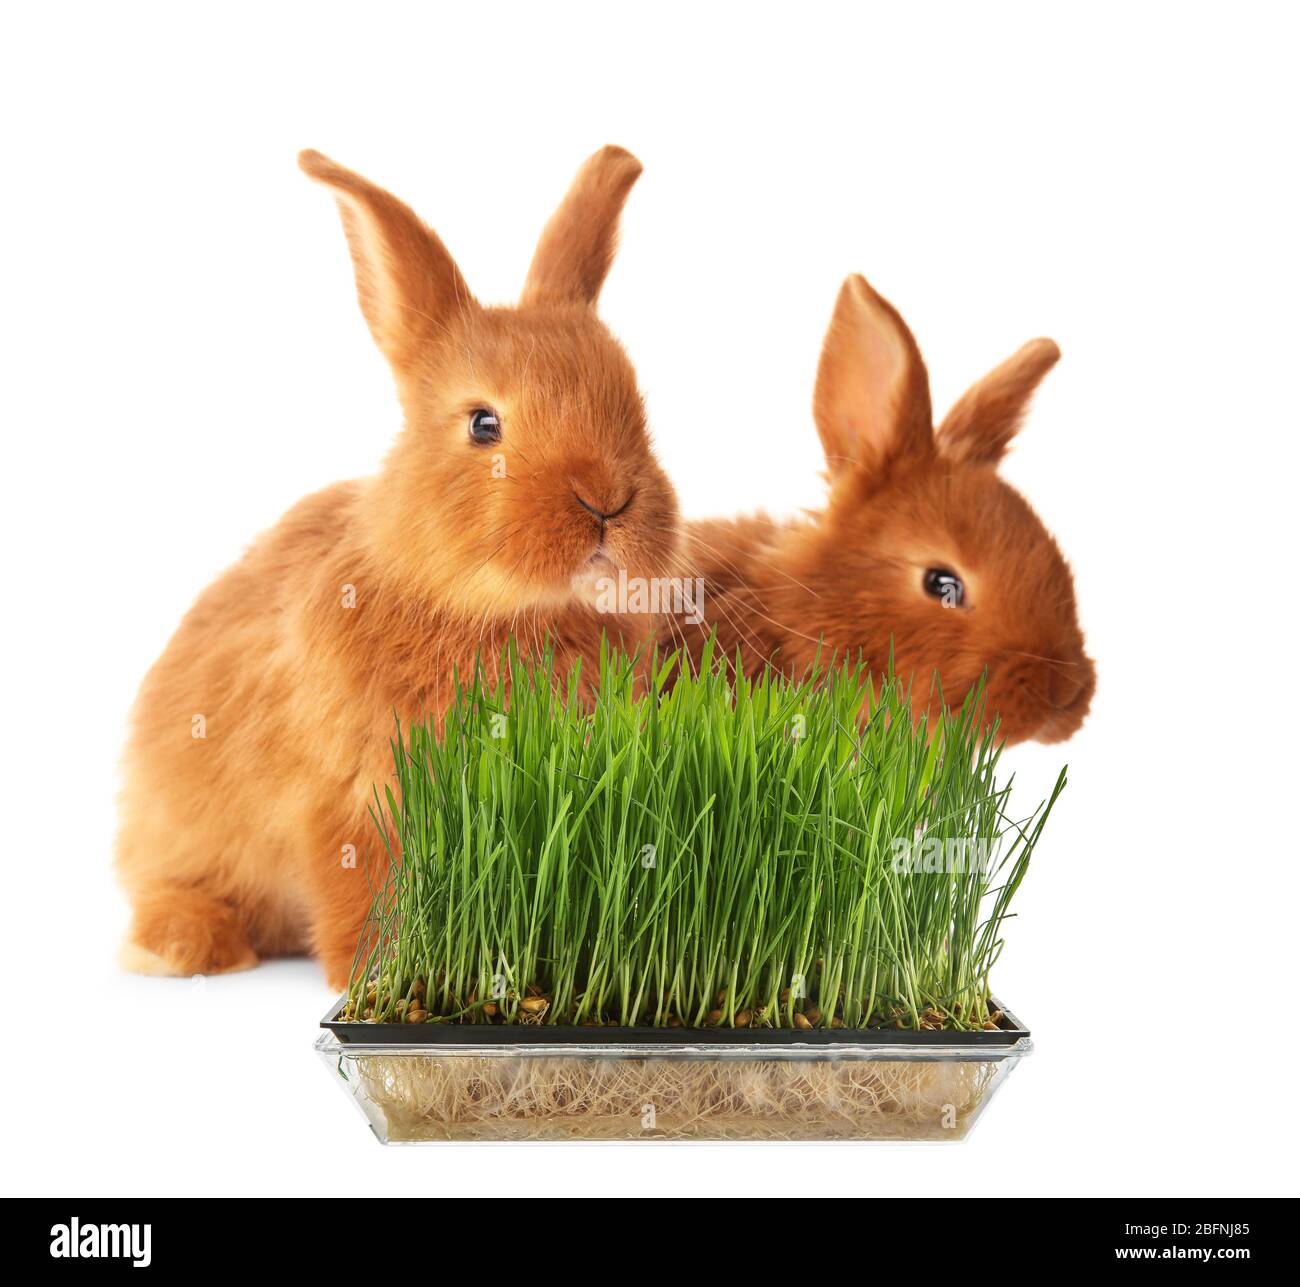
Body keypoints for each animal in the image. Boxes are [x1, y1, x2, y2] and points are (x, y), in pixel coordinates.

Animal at [116, 145, 679, 989]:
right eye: (483, 425)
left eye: (634, 407)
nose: (607, 499)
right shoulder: (350, 798)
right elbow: (366, 891)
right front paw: (373, 977)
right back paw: (183, 943)